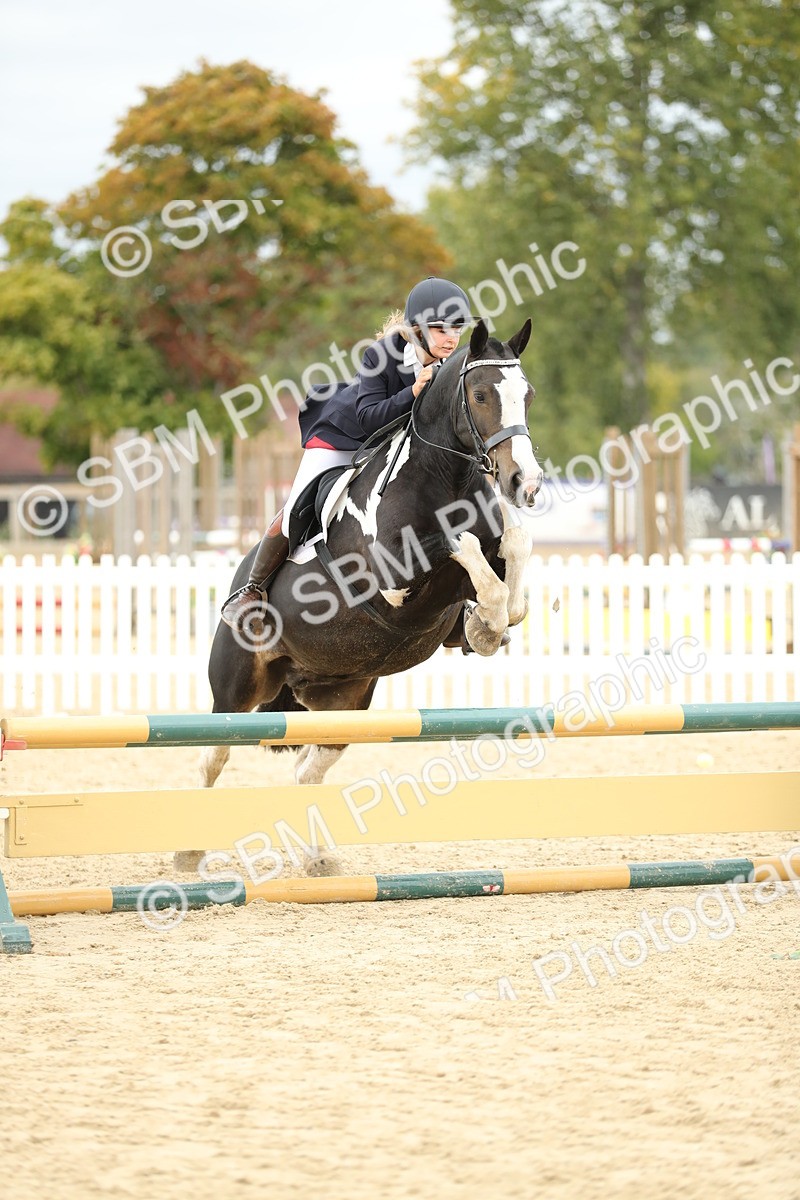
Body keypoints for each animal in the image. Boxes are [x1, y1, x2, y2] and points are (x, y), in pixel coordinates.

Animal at [188, 318, 543, 870]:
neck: (443, 476)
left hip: (347, 700)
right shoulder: (396, 580)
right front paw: (487, 620)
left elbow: (513, 550)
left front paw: (484, 627)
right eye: (481, 394)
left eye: (526, 395)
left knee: (306, 770)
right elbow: (461, 547)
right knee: (213, 757)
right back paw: (189, 855)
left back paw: (317, 860)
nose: (525, 482)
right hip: (235, 692)